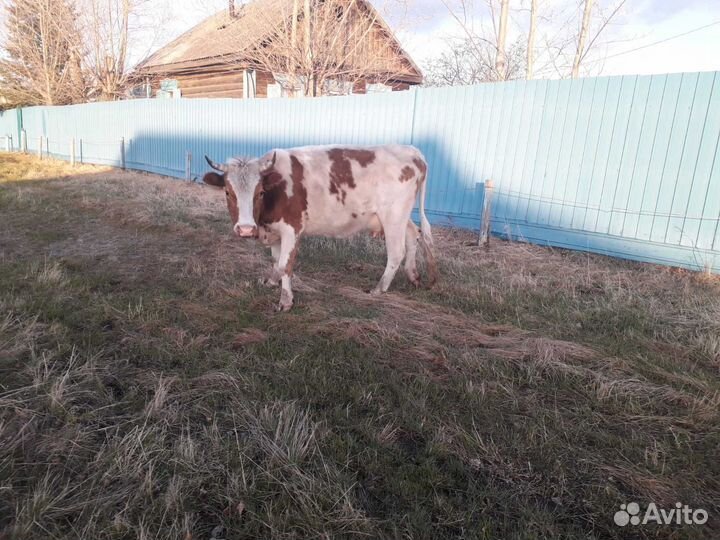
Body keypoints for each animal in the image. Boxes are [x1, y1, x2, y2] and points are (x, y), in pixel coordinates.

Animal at [202, 144, 438, 311]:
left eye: (260, 192)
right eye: (227, 192)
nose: (245, 229)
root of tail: (412, 151)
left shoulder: (292, 229)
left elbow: (285, 265)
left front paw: (285, 300)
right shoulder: (276, 232)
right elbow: (277, 261)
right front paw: (272, 282)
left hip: (393, 216)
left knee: (396, 252)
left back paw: (379, 288)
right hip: (399, 216)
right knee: (413, 234)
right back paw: (413, 275)